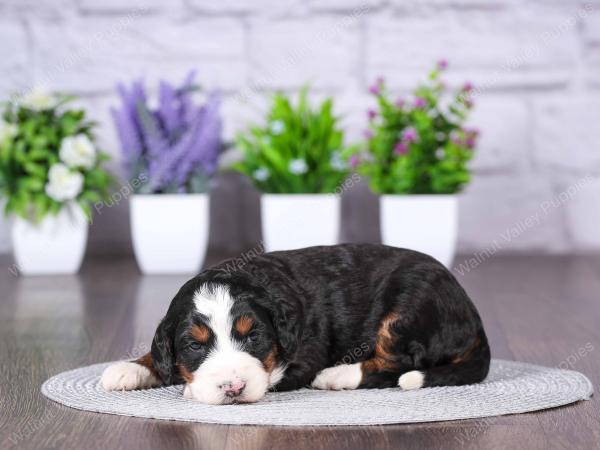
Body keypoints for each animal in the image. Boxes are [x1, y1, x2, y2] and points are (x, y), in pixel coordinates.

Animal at [101, 244, 490, 406]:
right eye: (195, 345)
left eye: (253, 337)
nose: (233, 388)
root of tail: (472, 314)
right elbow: (159, 356)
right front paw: (129, 369)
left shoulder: (304, 353)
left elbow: (272, 372)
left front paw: (191, 389)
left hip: (408, 311)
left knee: (400, 363)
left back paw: (337, 375)